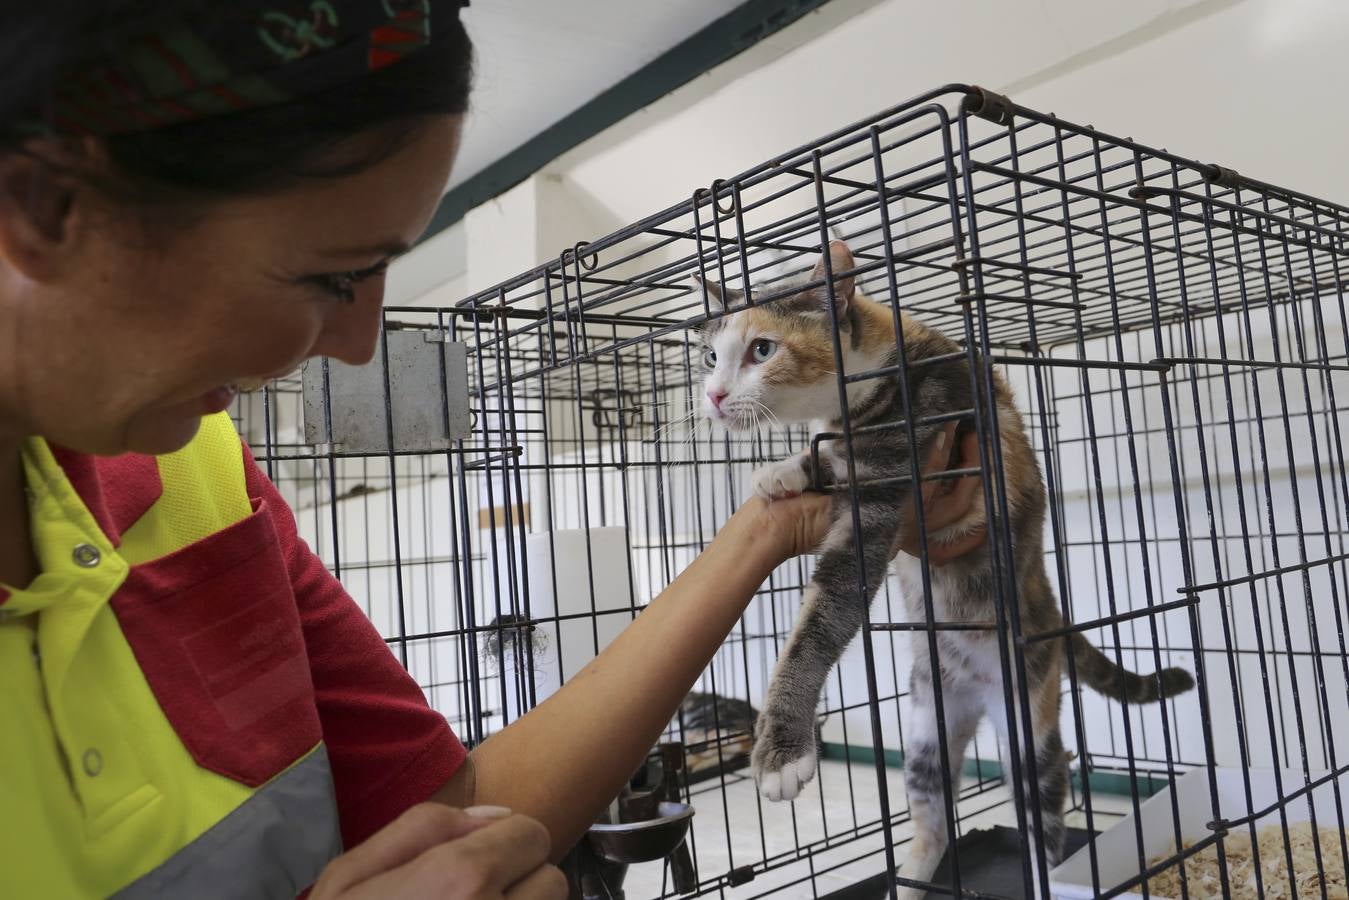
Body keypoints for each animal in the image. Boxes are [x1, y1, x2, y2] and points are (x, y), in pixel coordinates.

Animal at [696, 241, 1192, 900]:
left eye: (762, 350)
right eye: (710, 356)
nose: (714, 395)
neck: (881, 369)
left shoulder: (903, 460)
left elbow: (824, 615)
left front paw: (781, 753)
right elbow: (823, 458)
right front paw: (786, 470)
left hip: (1029, 713)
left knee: (1043, 810)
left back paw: (1048, 875)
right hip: (927, 727)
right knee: (934, 817)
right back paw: (910, 882)